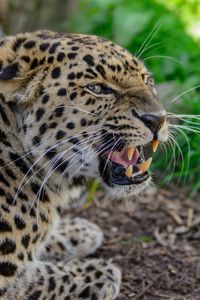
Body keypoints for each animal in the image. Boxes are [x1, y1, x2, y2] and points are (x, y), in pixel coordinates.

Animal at [0, 29, 169, 298]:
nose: (158, 119)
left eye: (146, 79)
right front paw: (101, 273)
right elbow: (43, 277)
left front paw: (77, 231)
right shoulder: (7, 280)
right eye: (97, 89)